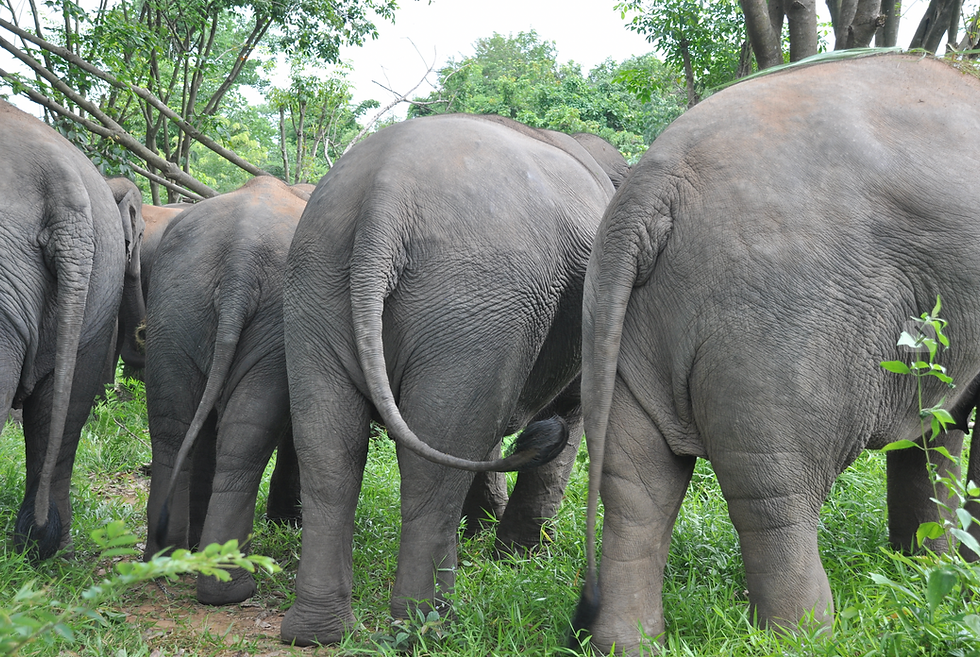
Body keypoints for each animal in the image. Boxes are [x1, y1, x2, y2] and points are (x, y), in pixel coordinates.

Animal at [142, 175, 305, 605]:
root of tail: (240, 258)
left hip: (175, 306)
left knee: (173, 426)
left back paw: (167, 561)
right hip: (269, 320)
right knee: (245, 437)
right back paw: (231, 588)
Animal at [280, 113, 622, 646]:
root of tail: (384, 198)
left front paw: (488, 535)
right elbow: (567, 417)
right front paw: (519, 557)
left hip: (317, 286)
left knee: (330, 453)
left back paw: (317, 633)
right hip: (472, 302)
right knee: (435, 464)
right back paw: (428, 629)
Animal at [572, 53, 980, 654]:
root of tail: (655, 185)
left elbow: (937, 433)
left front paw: (923, 570)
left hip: (616, 318)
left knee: (637, 486)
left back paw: (627, 645)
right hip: (780, 329)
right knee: (775, 493)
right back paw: (805, 639)